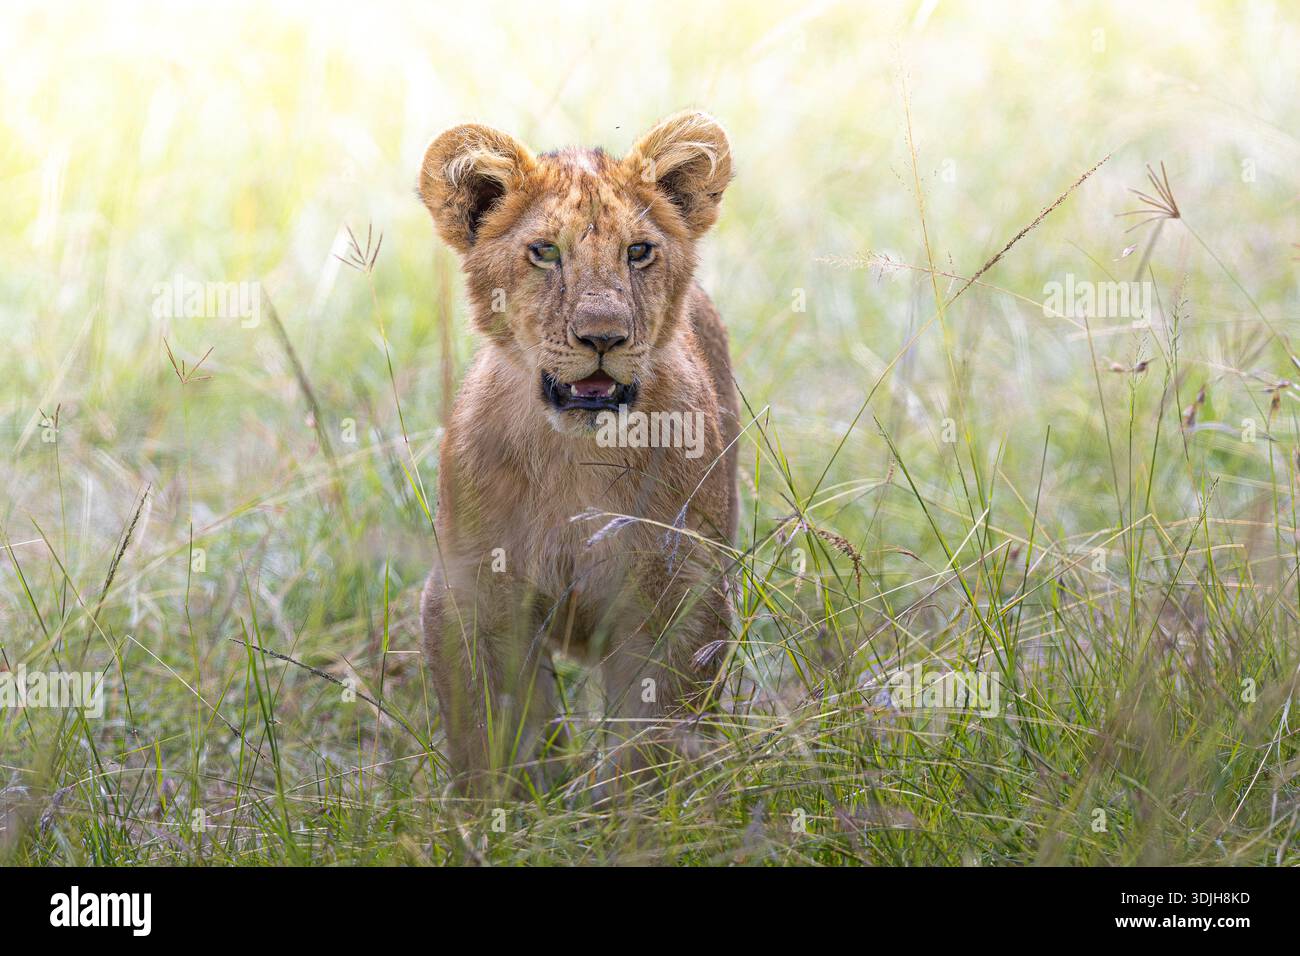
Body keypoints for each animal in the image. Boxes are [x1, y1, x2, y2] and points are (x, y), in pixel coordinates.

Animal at [417, 111, 738, 795]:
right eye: (545, 252)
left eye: (638, 252)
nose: (603, 336)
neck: (575, 458)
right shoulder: (471, 592)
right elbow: (488, 738)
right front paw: (499, 814)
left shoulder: (680, 596)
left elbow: (653, 741)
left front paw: (641, 814)